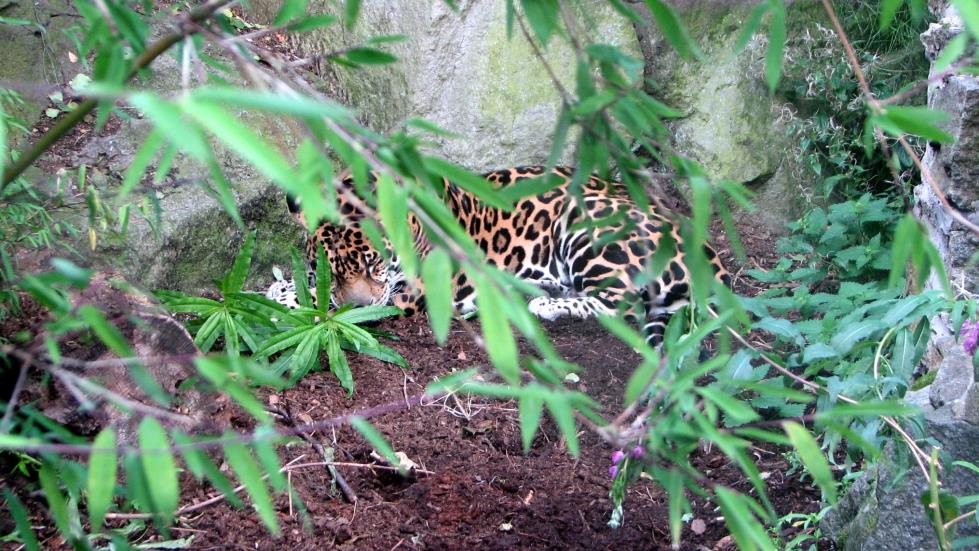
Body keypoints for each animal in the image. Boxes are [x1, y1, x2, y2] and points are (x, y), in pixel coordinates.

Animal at [268, 165, 728, 344]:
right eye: (333, 269)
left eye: (373, 262)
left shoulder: (406, 295)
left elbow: (323, 305)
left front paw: (280, 296)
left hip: (590, 222)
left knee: (623, 303)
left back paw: (546, 305)